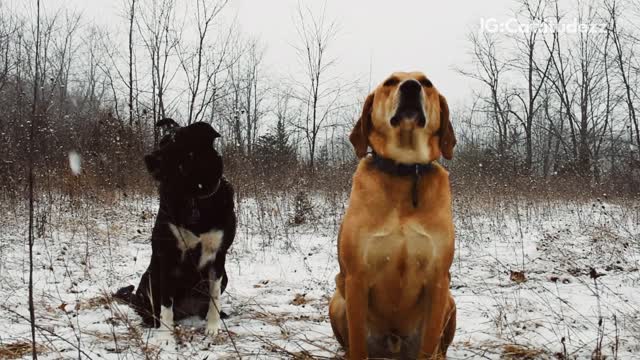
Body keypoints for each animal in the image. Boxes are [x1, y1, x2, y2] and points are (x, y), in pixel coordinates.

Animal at [116, 119, 236, 334]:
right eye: (161, 142)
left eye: (177, 143)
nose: (148, 158)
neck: (192, 196)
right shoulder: (167, 255)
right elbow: (166, 304)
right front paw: (165, 336)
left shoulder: (218, 255)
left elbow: (214, 297)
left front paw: (213, 328)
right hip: (150, 278)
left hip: (225, 277)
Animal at [330, 71, 456, 358]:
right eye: (390, 82)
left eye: (427, 83)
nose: (411, 87)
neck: (406, 172)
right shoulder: (356, 277)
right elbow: (357, 344)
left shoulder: (438, 280)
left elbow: (428, 345)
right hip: (337, 298)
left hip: (451, 301)